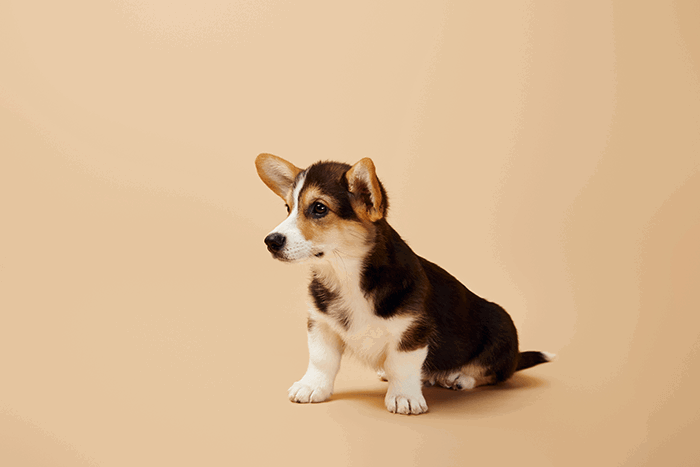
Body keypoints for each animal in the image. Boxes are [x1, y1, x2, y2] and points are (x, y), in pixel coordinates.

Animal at [254, 154, 556, 416]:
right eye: (288, 208)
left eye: (319, 208)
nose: (270, 241)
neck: (346, 273)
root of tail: (516, 355)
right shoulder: (320, 324)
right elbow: (321, 359)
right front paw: (311, 386)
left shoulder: (413, 330)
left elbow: (403, 365)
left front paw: (404, 397)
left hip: (501, 325)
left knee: (494, 373)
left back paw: (458, 377)